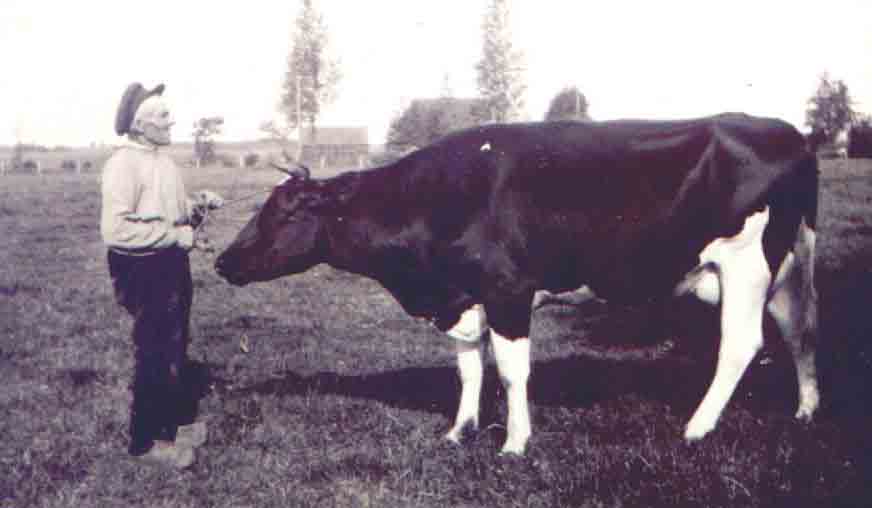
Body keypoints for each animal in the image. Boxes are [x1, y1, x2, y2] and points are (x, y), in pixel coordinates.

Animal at [215, 113, 820, 455]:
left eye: (285, 212)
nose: (223, 261)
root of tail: (785, 132)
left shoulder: (507, 291)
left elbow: (509, 370)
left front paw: (514, 442)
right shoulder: (464, 297)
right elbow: (468, 366)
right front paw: (460, 431)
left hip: (746, 264)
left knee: (741, 344)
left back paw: (696, 427)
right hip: (792, 260)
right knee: (800, 328)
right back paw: (806, 411)